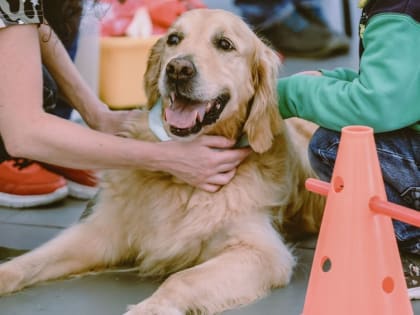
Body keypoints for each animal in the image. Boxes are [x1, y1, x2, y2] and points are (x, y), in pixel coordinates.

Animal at [0, 8, 324, 314]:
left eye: (225, 44)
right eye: (174, 39)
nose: (178, 69)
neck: (179, 184)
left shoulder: (262, 251)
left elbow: (182, 279)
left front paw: (151, 307)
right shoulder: (103, 232)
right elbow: (31, 260)